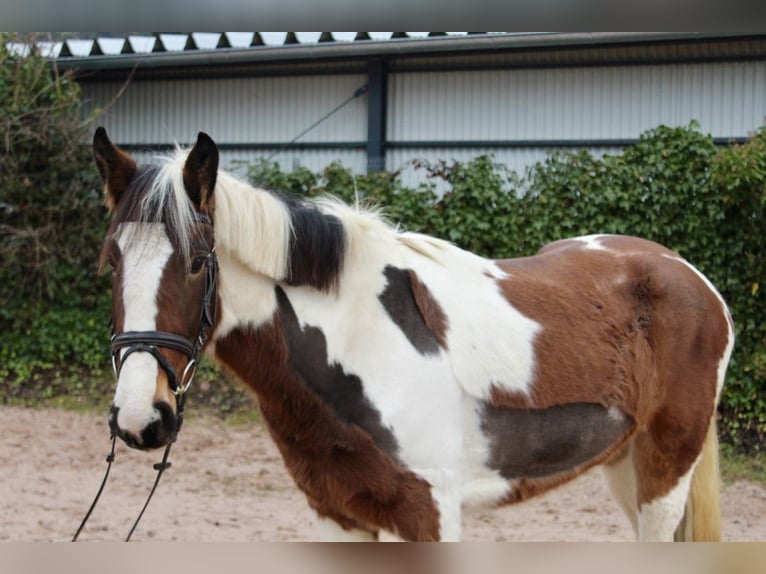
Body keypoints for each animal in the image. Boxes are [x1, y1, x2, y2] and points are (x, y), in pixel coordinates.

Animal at [93, 127, 736, 544]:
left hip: (665, 470)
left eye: (198, 262)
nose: (140, 417)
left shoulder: (428, 512)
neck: (360, 339)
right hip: (624, 462)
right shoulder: (337, 513)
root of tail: (688, 273)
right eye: (110, 261)